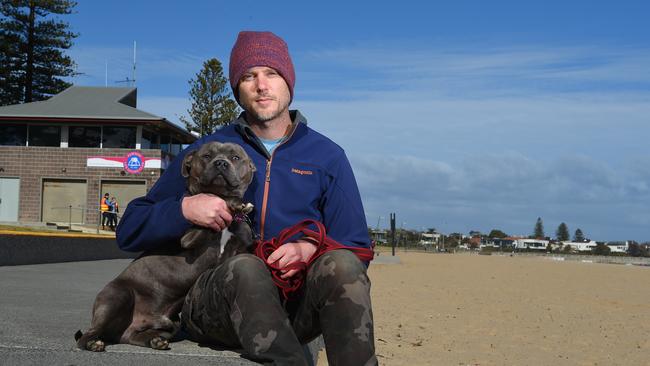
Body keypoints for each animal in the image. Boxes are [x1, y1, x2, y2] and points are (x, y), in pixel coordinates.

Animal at [76, 142, 256, 350]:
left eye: (235, 157)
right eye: (207, 156)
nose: (220, 163)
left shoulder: (239, 249)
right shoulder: (190, 236)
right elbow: (214, 199)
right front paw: (234, 202)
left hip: (170, 323)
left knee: (131, 336)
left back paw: (155, 340)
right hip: (118, 296)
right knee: (87, 334)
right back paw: (93, 343)